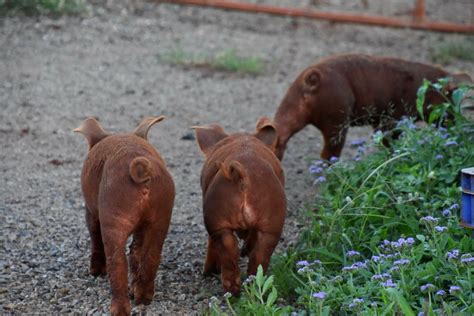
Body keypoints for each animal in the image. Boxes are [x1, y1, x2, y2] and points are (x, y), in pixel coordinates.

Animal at [75, 116, 175, 316]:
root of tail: (140, 170)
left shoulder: (90, 212)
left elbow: (95, 237)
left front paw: (95, 272)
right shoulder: (144, 227)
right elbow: (136, 251)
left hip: (113, 219)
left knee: (116, 264)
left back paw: (118, 309)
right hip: (161, 216)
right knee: (151, 257)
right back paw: (142, 297)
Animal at [272, 53, 472, 160]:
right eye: (450, 100)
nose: (458, 123)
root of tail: (313, 78)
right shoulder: (393, 117)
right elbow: (388, 139)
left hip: (293, 103)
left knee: (282, 128)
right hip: (337, 118)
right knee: (329, 151)